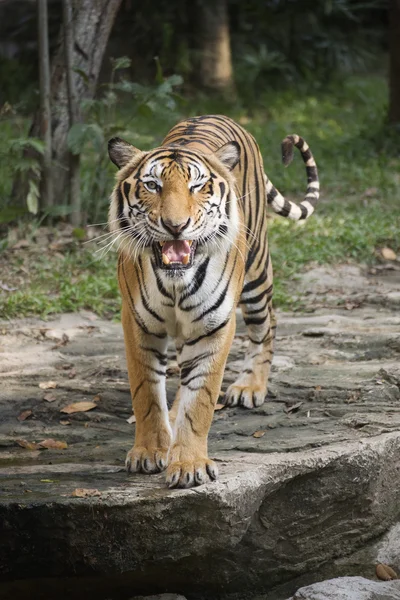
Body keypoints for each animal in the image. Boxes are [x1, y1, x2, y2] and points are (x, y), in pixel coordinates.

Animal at [107, 115, 318, 490]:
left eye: (197, 186)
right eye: (152, 185)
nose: (175, 226)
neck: (176, 280)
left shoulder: (213, 325)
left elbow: (200, 400)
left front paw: (189, 465)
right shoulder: (138, 324)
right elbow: (146, 392)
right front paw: (149, 451)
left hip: (256, 276)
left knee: (267, 326)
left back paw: (250, 386)